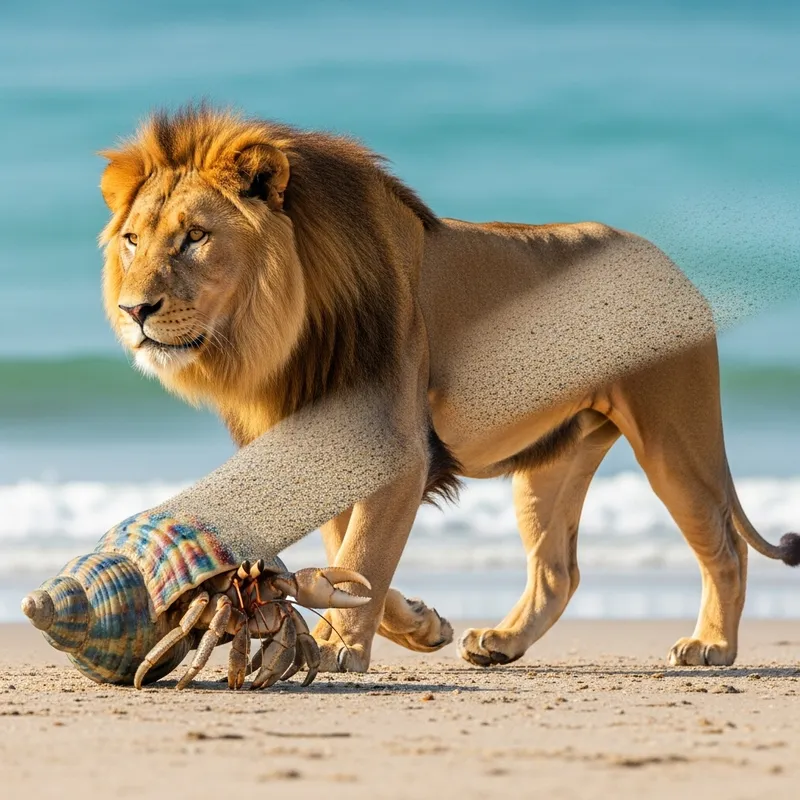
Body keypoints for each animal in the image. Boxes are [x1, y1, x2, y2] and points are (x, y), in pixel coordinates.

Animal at [100, 105, 799, 672]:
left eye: (195, 237)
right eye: (132, 240)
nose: (135, 310)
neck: (282, 336)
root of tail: (671, 264)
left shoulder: (395, 451)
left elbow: (363, 553)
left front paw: (338, 648)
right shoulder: (321, 454)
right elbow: (345, 559)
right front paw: (419, 625)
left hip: (674, 438)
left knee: (724, 545)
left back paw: (711, 645)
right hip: (551, 464)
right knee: (558, 570)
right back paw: (502, 643)